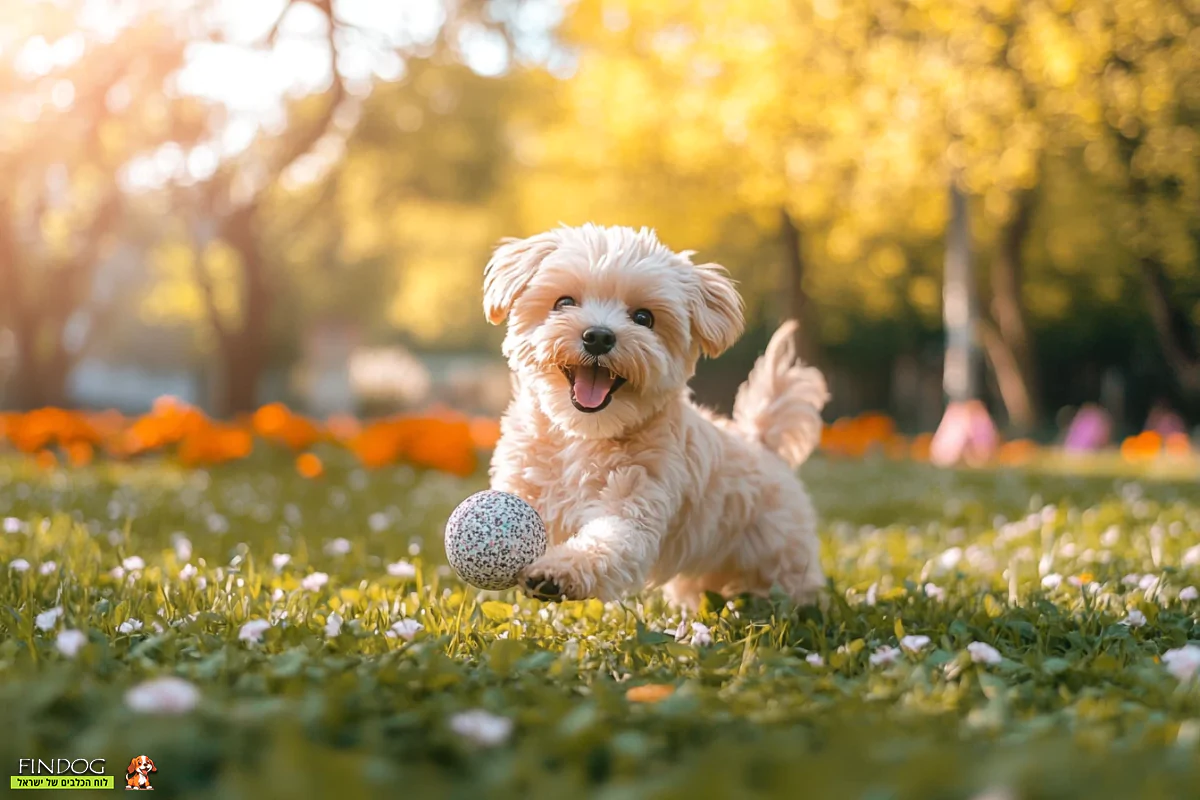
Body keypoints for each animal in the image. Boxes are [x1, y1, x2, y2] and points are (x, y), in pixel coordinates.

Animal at [477, 221, 825, 609]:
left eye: (644, 317)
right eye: (563, 302)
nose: (598, 336)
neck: (583, 435)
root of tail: (761, 440)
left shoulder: (638, 501)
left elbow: (607, 542)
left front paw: (558, 571)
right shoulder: (523, 480)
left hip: (781, 554)